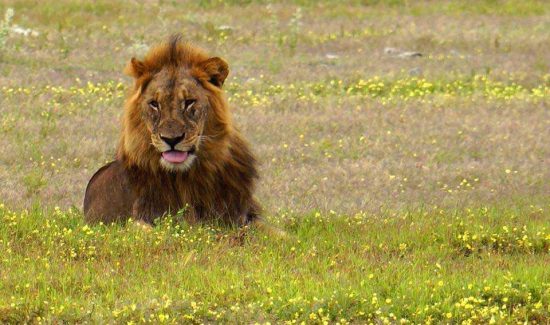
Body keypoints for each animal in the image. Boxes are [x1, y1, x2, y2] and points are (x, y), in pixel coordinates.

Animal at [83, 34, 280, 230]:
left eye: (189, 102)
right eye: (154, 104)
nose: (172, 139)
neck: (186, 179)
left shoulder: (242, 215)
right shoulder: (141, 218)